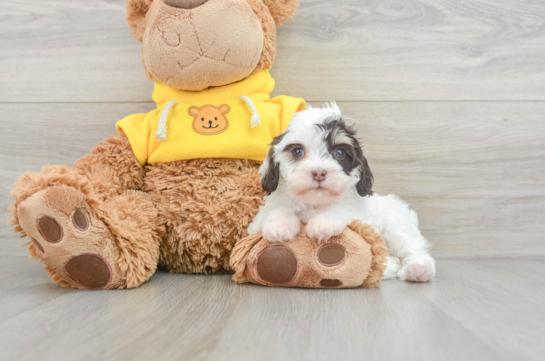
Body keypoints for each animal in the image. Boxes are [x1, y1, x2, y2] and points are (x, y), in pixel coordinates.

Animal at [249, 103, 436, 282]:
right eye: (297, 152)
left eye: (339, 153)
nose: (319, 173)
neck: (313, 203)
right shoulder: (258, 221)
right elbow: (276, 210)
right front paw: (279, 226)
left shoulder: (361, 217)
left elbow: (342, 209)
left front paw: (323, 223)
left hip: (395, 221)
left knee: (410, 246)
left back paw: (419, 268)